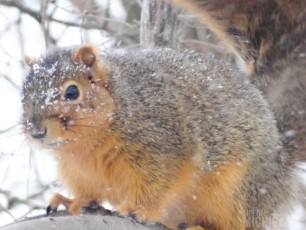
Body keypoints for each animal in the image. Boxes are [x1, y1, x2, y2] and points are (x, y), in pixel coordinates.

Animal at [22, 43, 292, 230]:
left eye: (72, 92)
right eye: (25, 94)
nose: (36, 131)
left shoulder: (162, 144)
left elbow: (157, 183)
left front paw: (137, 208)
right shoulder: (79, 171)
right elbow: (88, 192)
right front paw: (71, 200)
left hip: (239, 193)